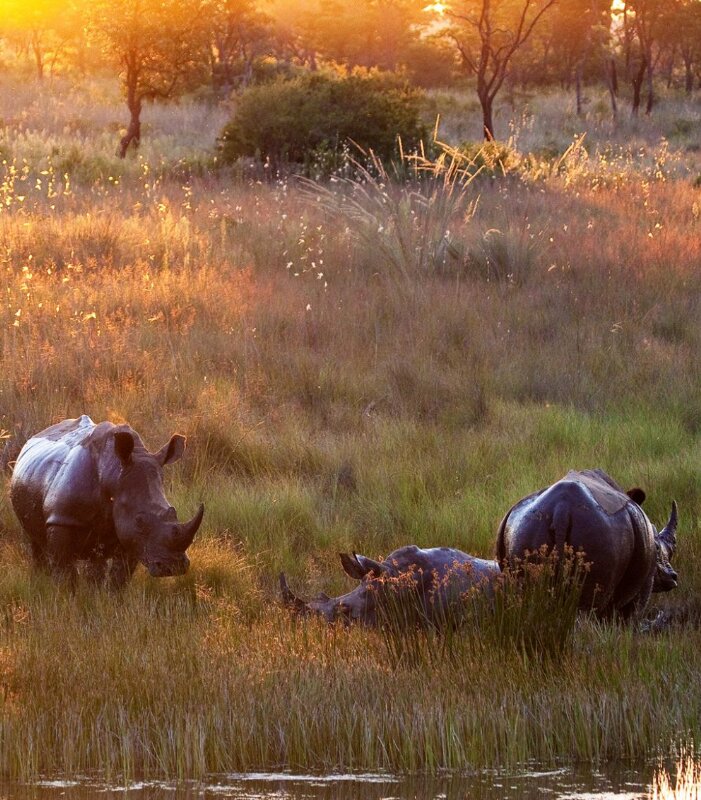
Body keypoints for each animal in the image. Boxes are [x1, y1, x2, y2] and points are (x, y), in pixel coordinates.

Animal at [10, 418, 202, 588]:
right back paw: (39, 579)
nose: (173, 567)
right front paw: (67, 598)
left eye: (173, 513)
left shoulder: (131, 535)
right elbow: (65, 573)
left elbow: (119, 577)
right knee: (35, 541)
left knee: (96, 558)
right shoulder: (61, 519)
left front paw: (109, 600)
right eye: (139, 521)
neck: (114, 472)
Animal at [494, 468, 676, 624]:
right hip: (600, 531)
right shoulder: (644, 585)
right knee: (586, 610)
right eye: (658, 548)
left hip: (526, 525)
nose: (673, 577)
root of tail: (562, 508)